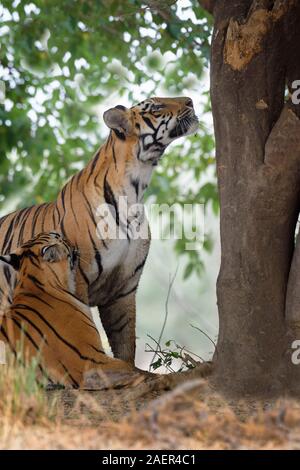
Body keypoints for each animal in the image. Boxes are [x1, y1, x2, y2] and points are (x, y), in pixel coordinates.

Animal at [0, 97, 199, 366]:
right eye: (156, 107)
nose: (191, 101)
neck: (136, 188)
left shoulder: (123, 289)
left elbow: (125, 348)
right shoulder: (79, 282)